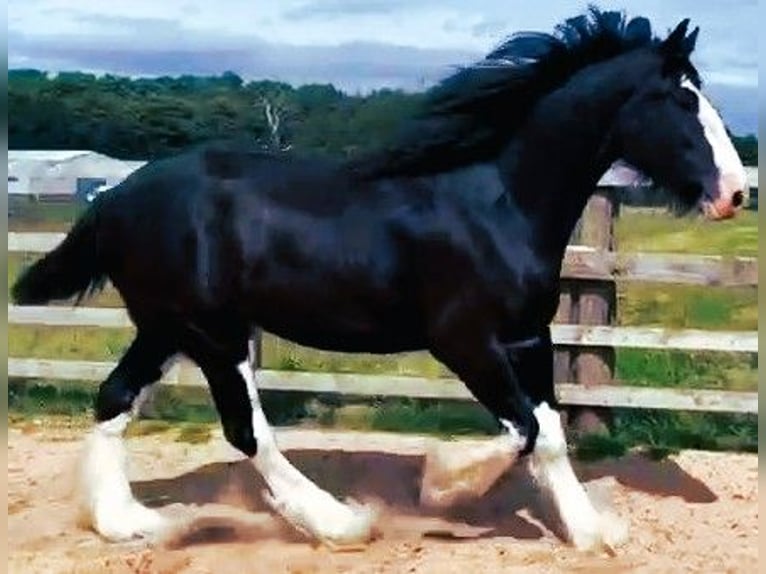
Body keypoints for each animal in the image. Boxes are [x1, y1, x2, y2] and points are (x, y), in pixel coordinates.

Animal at [12, 8, 746, 553]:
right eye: (681, 99)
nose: (735, 194)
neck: (497, 201)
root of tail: (112, 197)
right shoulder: (463, 340)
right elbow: (523, 432)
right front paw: (443, 487)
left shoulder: (529, 338)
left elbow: (550, 432)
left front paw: (593, 532)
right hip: (212, 334)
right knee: (246, 430)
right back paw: (339, 522)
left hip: (168, 328)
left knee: (113, 398)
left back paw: (127, 523)